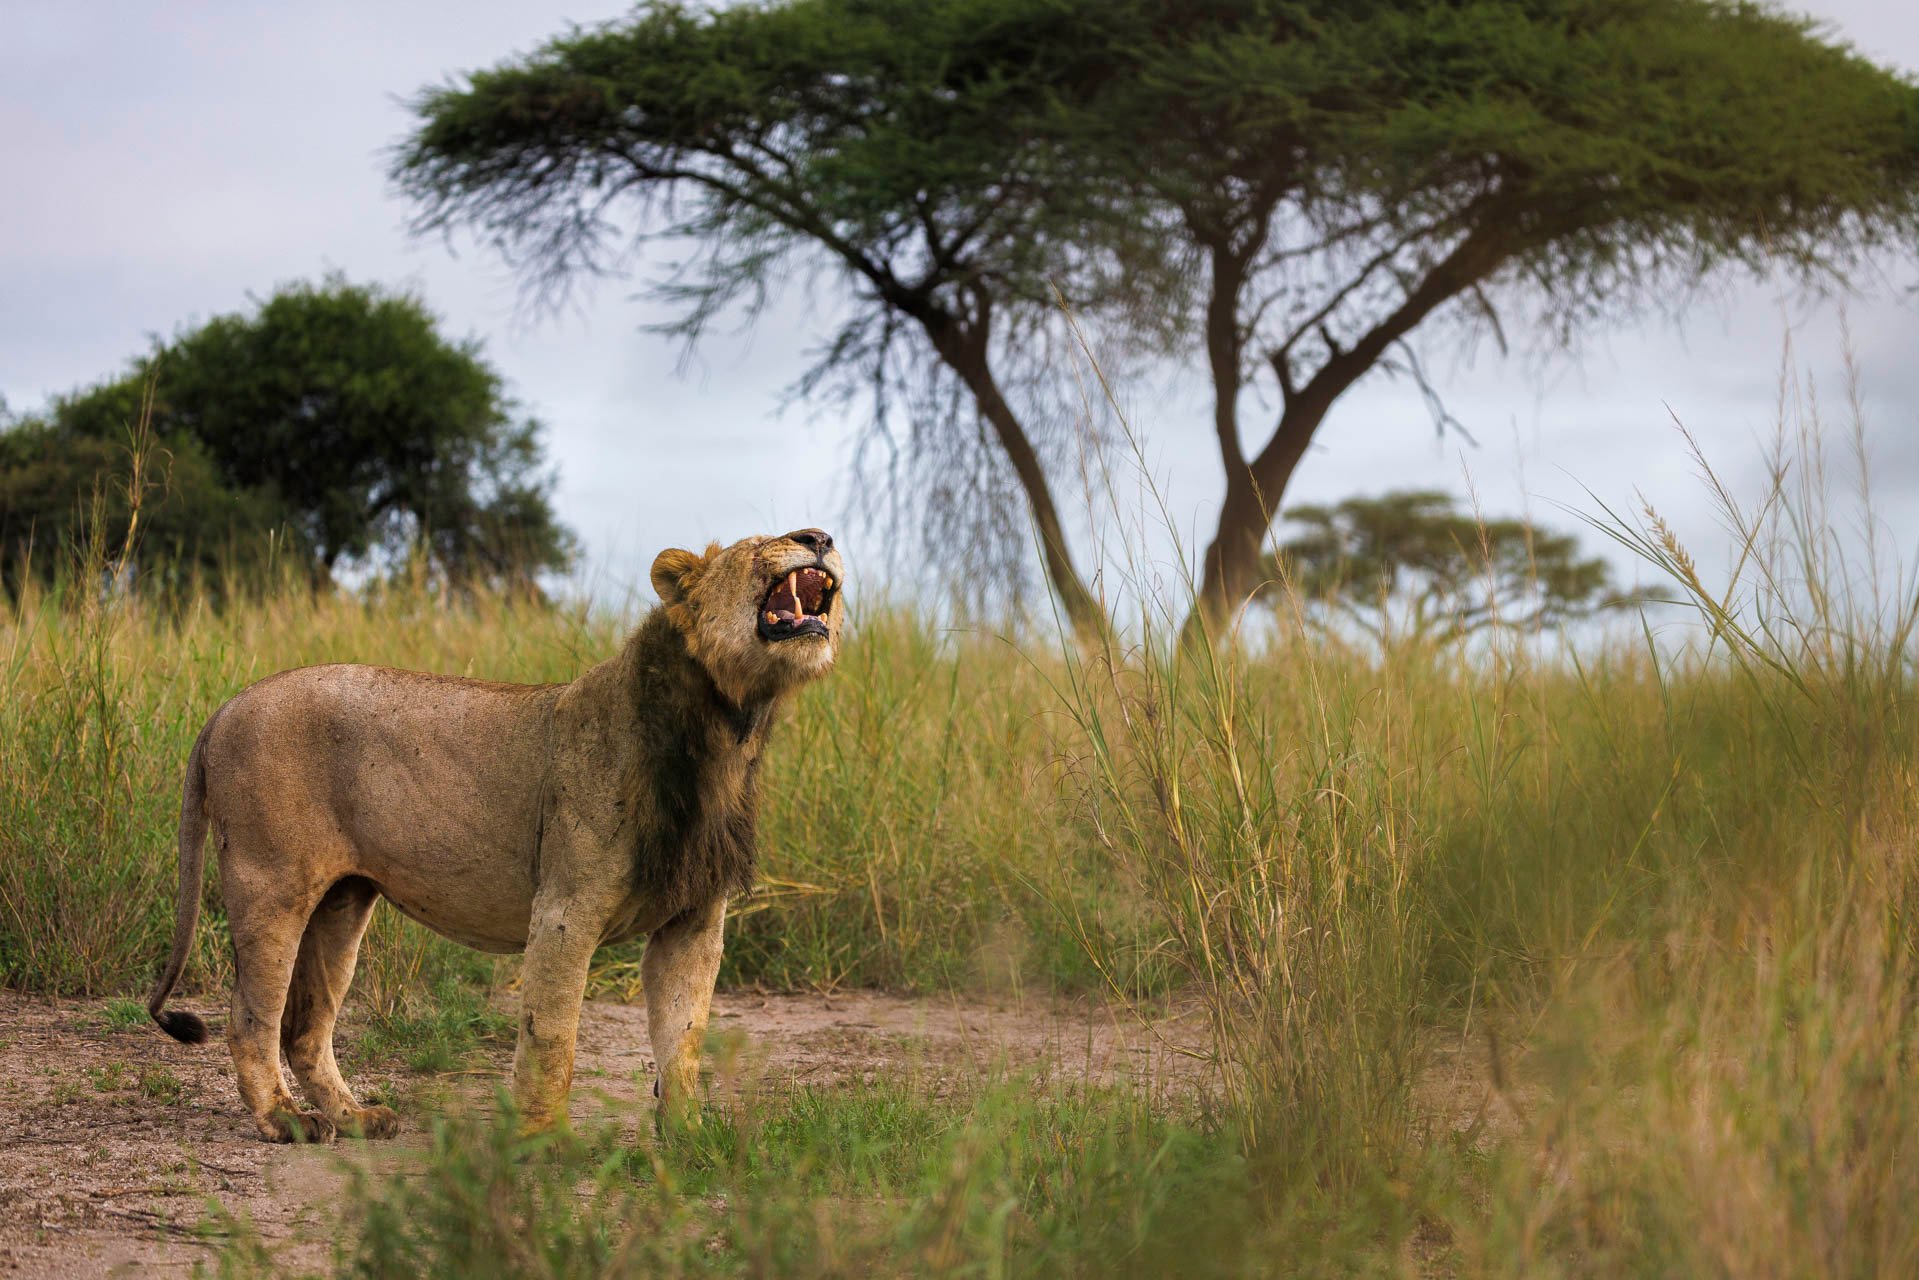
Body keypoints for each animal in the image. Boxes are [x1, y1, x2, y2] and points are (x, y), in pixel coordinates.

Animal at [145, 529, 844, 1142]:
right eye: (759, 544)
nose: (820, 538)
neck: (728, 727)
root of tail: (226, 707)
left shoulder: (693, 921)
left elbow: (685, 1035)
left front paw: (690, 1141)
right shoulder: (565, 907)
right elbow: (552, 1032)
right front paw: (545, 1140)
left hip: (343, 901)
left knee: (304, 1028)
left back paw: (357, 1119)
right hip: (271, 883)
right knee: (250, 1019)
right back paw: (286, 1122)